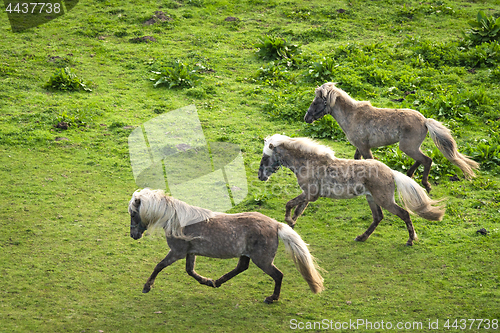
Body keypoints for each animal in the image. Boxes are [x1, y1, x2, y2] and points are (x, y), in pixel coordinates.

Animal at [128, 188, 324, 302]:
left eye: (133, 214)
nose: (133, 236)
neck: (177, 221)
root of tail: (276, 225)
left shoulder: (177, 252)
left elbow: (159, 266)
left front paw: (147, 287)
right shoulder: (190, 252)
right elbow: (190, 271)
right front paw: (206, 281)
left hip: (263, 260)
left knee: (278, 275)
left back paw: (272, 298)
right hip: (247, 255)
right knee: (241, 268)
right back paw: (216, 282)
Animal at [258, 134, 446, 245]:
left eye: (265, 157)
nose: (260, 176)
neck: (308, 163)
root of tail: (391, 172)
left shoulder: (310, 194)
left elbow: (290, 204)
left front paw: (288, 220)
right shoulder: (310, 195)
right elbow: (298, 210)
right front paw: (291, 225)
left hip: (384, 200)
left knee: (404, 214)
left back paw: (410, 240)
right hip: (371, 199)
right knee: (378, 217)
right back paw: (361, 237)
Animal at [302, 81, 478, 192]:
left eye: (316, 102)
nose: (306, 118)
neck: (352, 116)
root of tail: (425, 121)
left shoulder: (364, 147)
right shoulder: (360, 146)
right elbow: (357, 160)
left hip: (407, 147)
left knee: (427, 160)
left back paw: (426, 185)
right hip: (410, 147)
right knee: (420, 160)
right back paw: (409, 175)